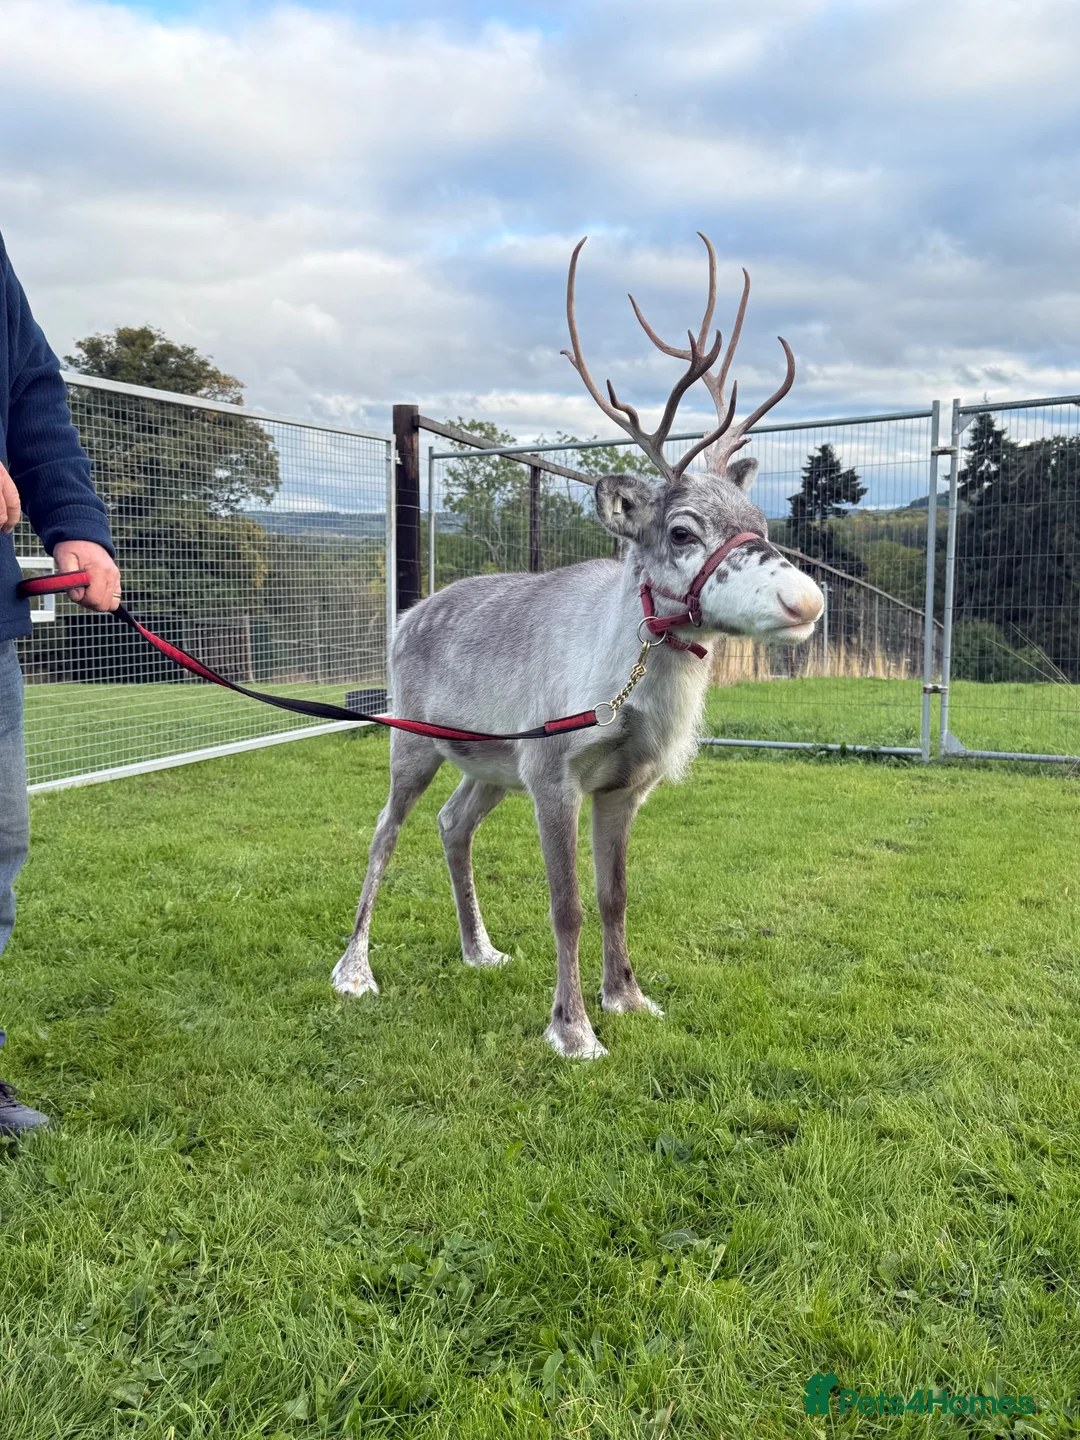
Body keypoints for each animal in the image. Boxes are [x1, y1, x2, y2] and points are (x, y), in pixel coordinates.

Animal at [331, 234, 824, 1059]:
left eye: (758, 519)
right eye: (682, 530)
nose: (806, 600)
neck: (629, 696)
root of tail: (407, 614)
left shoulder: (624, 784)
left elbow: (614, 896)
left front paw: (628, 997)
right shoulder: (551, 773)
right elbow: (567, 906)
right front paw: (573, 1030)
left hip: (490, 764)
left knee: (452, 824)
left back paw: (479, 949)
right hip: (415, 739)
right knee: (381, 833)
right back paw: (354, 970)